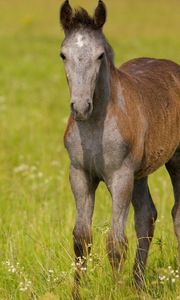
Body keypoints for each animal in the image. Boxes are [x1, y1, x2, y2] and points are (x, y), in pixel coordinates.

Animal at [58, 0, 179, 296]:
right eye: (63, 55)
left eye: (100, 55)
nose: (80, 107)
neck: (96, 124)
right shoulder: (80, 174)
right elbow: (81, 238)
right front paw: (76, 293)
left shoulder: (120, 176)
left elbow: (115, 241)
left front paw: (115, 291)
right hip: (140, 174)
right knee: (146, 216)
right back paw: (138, 285)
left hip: (175, 160)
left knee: (176, 215)